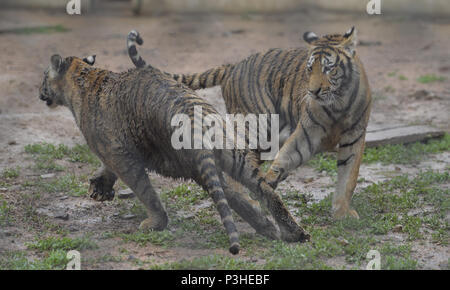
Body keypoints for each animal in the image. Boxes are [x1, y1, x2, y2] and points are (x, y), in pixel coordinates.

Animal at [37, 53, 310, 255]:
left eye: (44, 77)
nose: (40, 92)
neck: (83, 76)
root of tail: (191, 112)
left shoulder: (119, 154)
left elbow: (144, 191)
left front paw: (154, 221)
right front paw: (99, 186)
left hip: (193, 163)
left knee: (229, 193)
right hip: (228, 157)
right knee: (259, 191)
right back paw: (288, 232)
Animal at [127, 27, 372, 218]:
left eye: (329, 68)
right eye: (310, 68)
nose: (313, 91)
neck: (338, 103)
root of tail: (233, 66)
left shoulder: (353, 139)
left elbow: (348, 178)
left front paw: (342, 213)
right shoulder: (307, 133)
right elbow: (286, 157)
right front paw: (268, 184)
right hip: (257, 126)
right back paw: (248, 201)